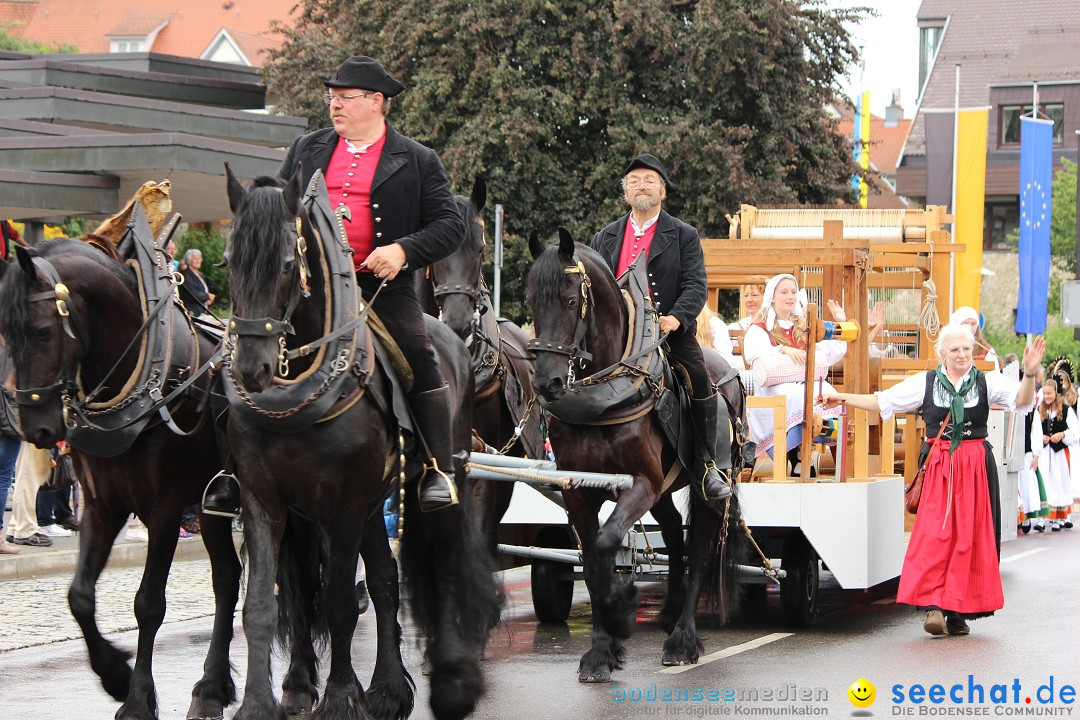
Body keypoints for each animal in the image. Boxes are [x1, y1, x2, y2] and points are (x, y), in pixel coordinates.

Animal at [0, 240, 238, 720]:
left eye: (41, 332)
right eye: (3, 333)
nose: (32, 428)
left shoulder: (164, 510)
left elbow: (148, 604)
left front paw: (137, 699)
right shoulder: (101, 506)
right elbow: (79, 595)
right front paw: (114, 674)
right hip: (213, 510)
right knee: (227, 577)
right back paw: (211, 688)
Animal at [223, 166, 501, 716]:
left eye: (287, 262)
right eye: (228, 260)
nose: (250, 368)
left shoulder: (346, 502)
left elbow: (337, 604)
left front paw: (339, 697)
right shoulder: (264, 499)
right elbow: (263, 603)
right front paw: (260, 703)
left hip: (441, 481)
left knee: (442, 563)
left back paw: (452, 676)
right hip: (372, 504)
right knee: (383, 581)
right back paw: (388, 688)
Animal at [527, 229, 747, 682]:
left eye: (570, 301)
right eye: (531, 301)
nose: (546, 383)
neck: (605, 395)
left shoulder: (641, 485)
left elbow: (609, 542)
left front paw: (622, 610)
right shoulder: (578, 493)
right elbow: (592, 560)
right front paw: (600, 650)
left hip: (706, 488)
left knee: (700, 550)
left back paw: (682, 638)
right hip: (663, 494)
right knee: (676, 535)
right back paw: (668, 612)